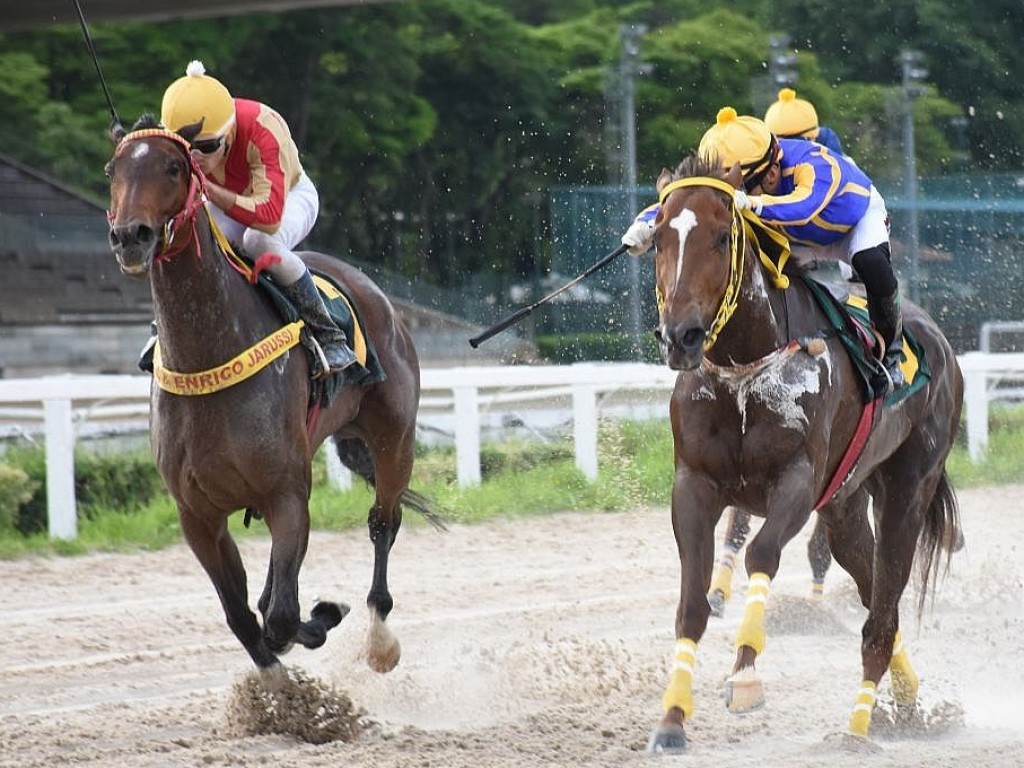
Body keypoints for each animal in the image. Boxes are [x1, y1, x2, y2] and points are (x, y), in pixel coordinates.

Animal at [104, 117, 440, 675]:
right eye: (113, 169)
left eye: (173, 167)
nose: (131, 236)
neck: (207, 355)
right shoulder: (197, 515)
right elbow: (246, 615)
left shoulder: (286, 492)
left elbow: (281, 615)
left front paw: (323, 617)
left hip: (394, 438)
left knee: (383, 522)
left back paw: (379, 637)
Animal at [643, 154, 962, 753]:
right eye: (659, 240)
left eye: (723, 237)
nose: (682, 336)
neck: (745, 368)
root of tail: (939, 340)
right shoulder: (693, 485)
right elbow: (692, 602)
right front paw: (672, 720)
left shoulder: (795, 480)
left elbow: (762, 554)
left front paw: (745, 676)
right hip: (844, 507)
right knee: (872, 594)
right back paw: (908, 704)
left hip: (906, 492)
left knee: (883, 615)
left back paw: (857, 730)